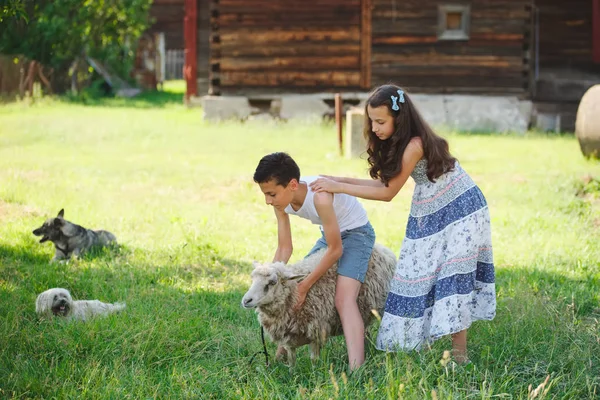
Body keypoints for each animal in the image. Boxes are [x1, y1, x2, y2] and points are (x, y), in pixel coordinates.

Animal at [239, 242, 398, 368]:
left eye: (272, 282)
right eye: (252, 278)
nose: (246, 301)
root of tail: (382, 248)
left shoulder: (317, 330)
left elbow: (314, 359)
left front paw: (316, 374)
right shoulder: (289, 335)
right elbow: (292, 359)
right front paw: (290, 373)